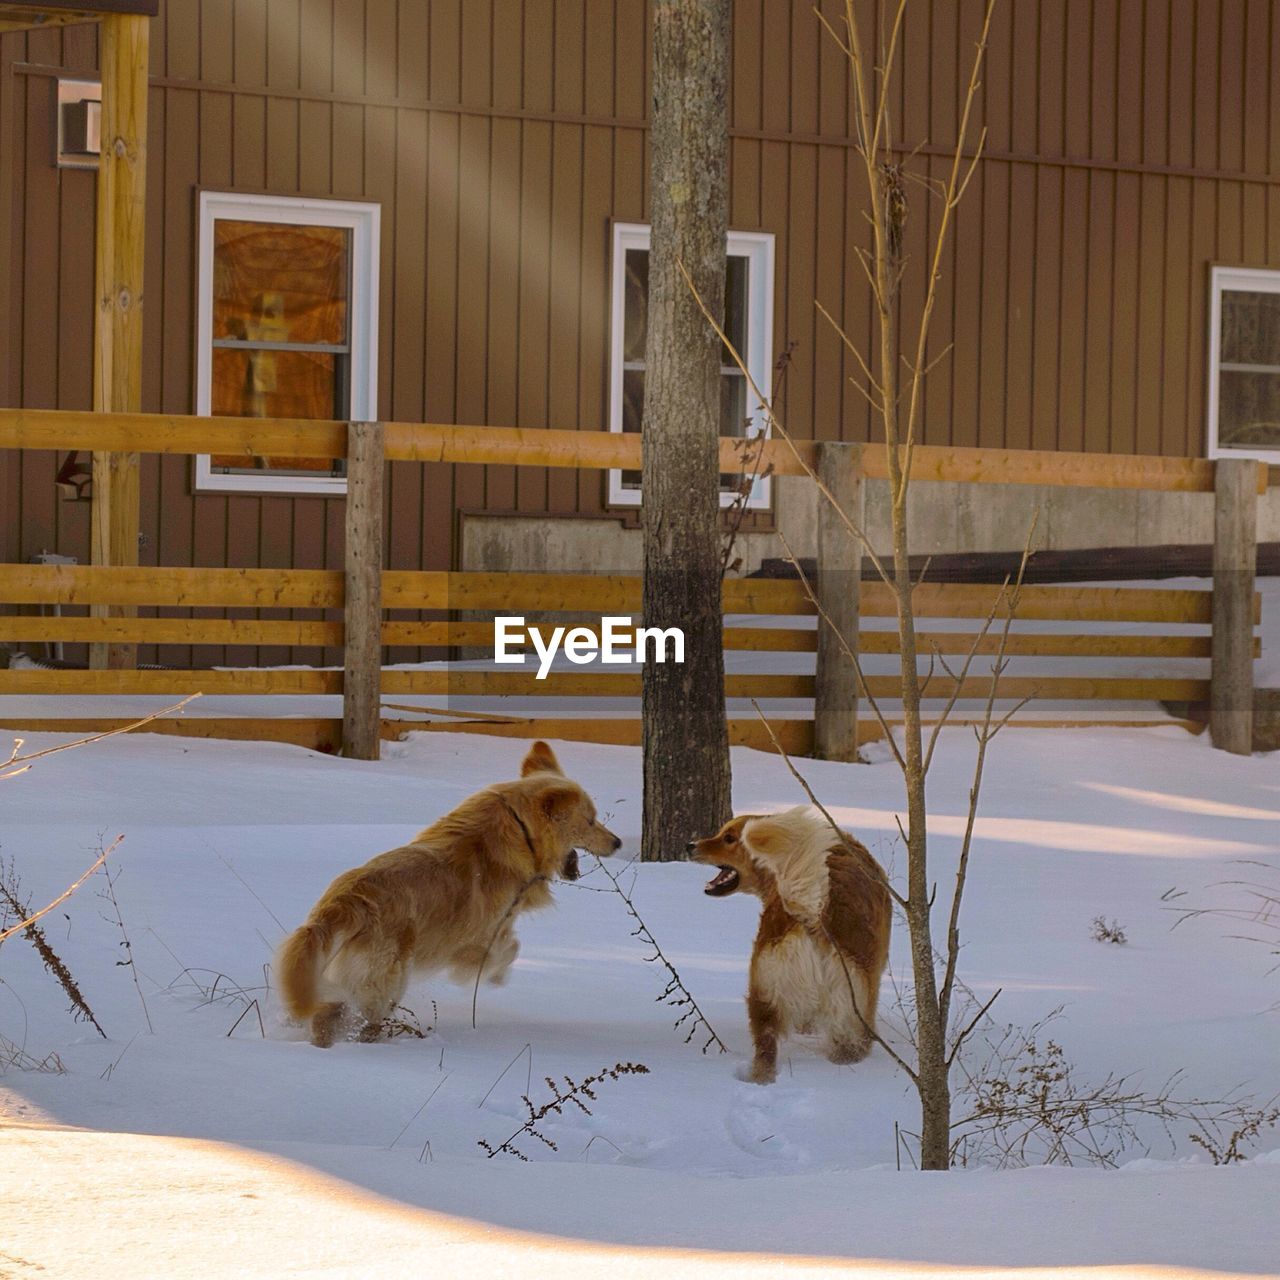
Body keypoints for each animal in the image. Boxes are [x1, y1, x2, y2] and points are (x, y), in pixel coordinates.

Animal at [279, 747, 619, 1044]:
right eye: (590, 820)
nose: (617, 842)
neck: (521, 831)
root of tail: (344, 904)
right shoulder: (480, 938)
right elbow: (509, 949)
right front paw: (495, 977)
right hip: (385, 985)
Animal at [691, 808, 890, 1080]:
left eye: (728, 838)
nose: (690, 845)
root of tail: (814, 913)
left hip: (766, 993)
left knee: (765, 1051)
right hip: (853, 1010)